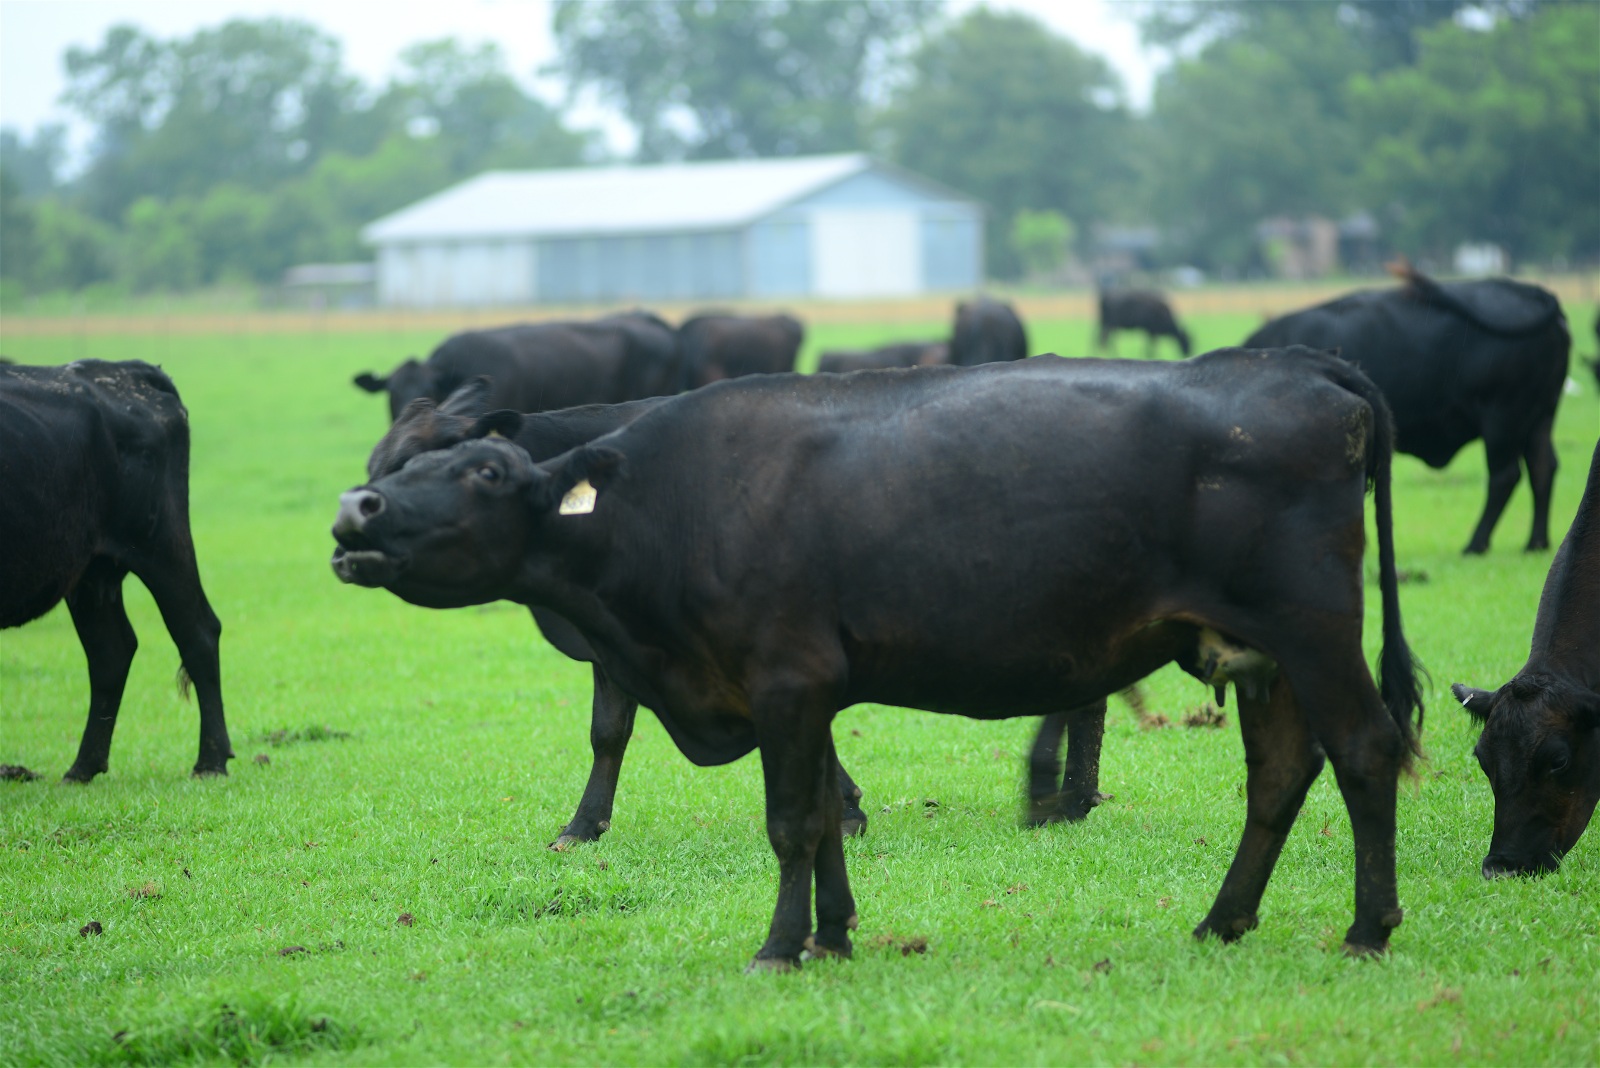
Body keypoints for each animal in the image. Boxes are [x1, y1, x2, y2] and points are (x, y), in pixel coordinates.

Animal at [1, 360, 232, 781]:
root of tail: (126, 370)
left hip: (161, 546)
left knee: (197, 632)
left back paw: (209, 761)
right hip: (92, 571)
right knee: (110, 650)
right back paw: (82, 767)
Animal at [1244, 263, 1570, 554]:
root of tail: (1530, 291)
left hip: (1503, 419)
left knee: (1505, 476)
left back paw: (1476, 544)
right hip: (1540, 417)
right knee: (1542, 467)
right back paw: (1536, 542)